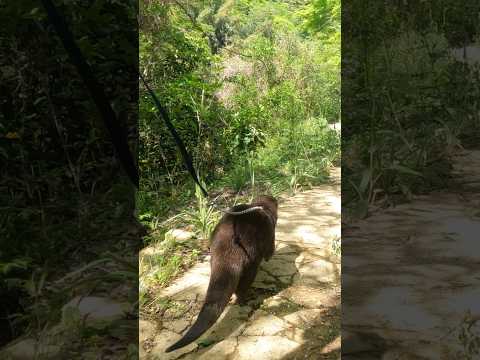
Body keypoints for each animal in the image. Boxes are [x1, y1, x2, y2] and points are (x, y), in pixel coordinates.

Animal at [165, 194, 278, 352]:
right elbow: (270, 252)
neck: (263, 208)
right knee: (243, 285)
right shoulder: (270, 233)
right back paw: (245, 299)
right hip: (251, 261)